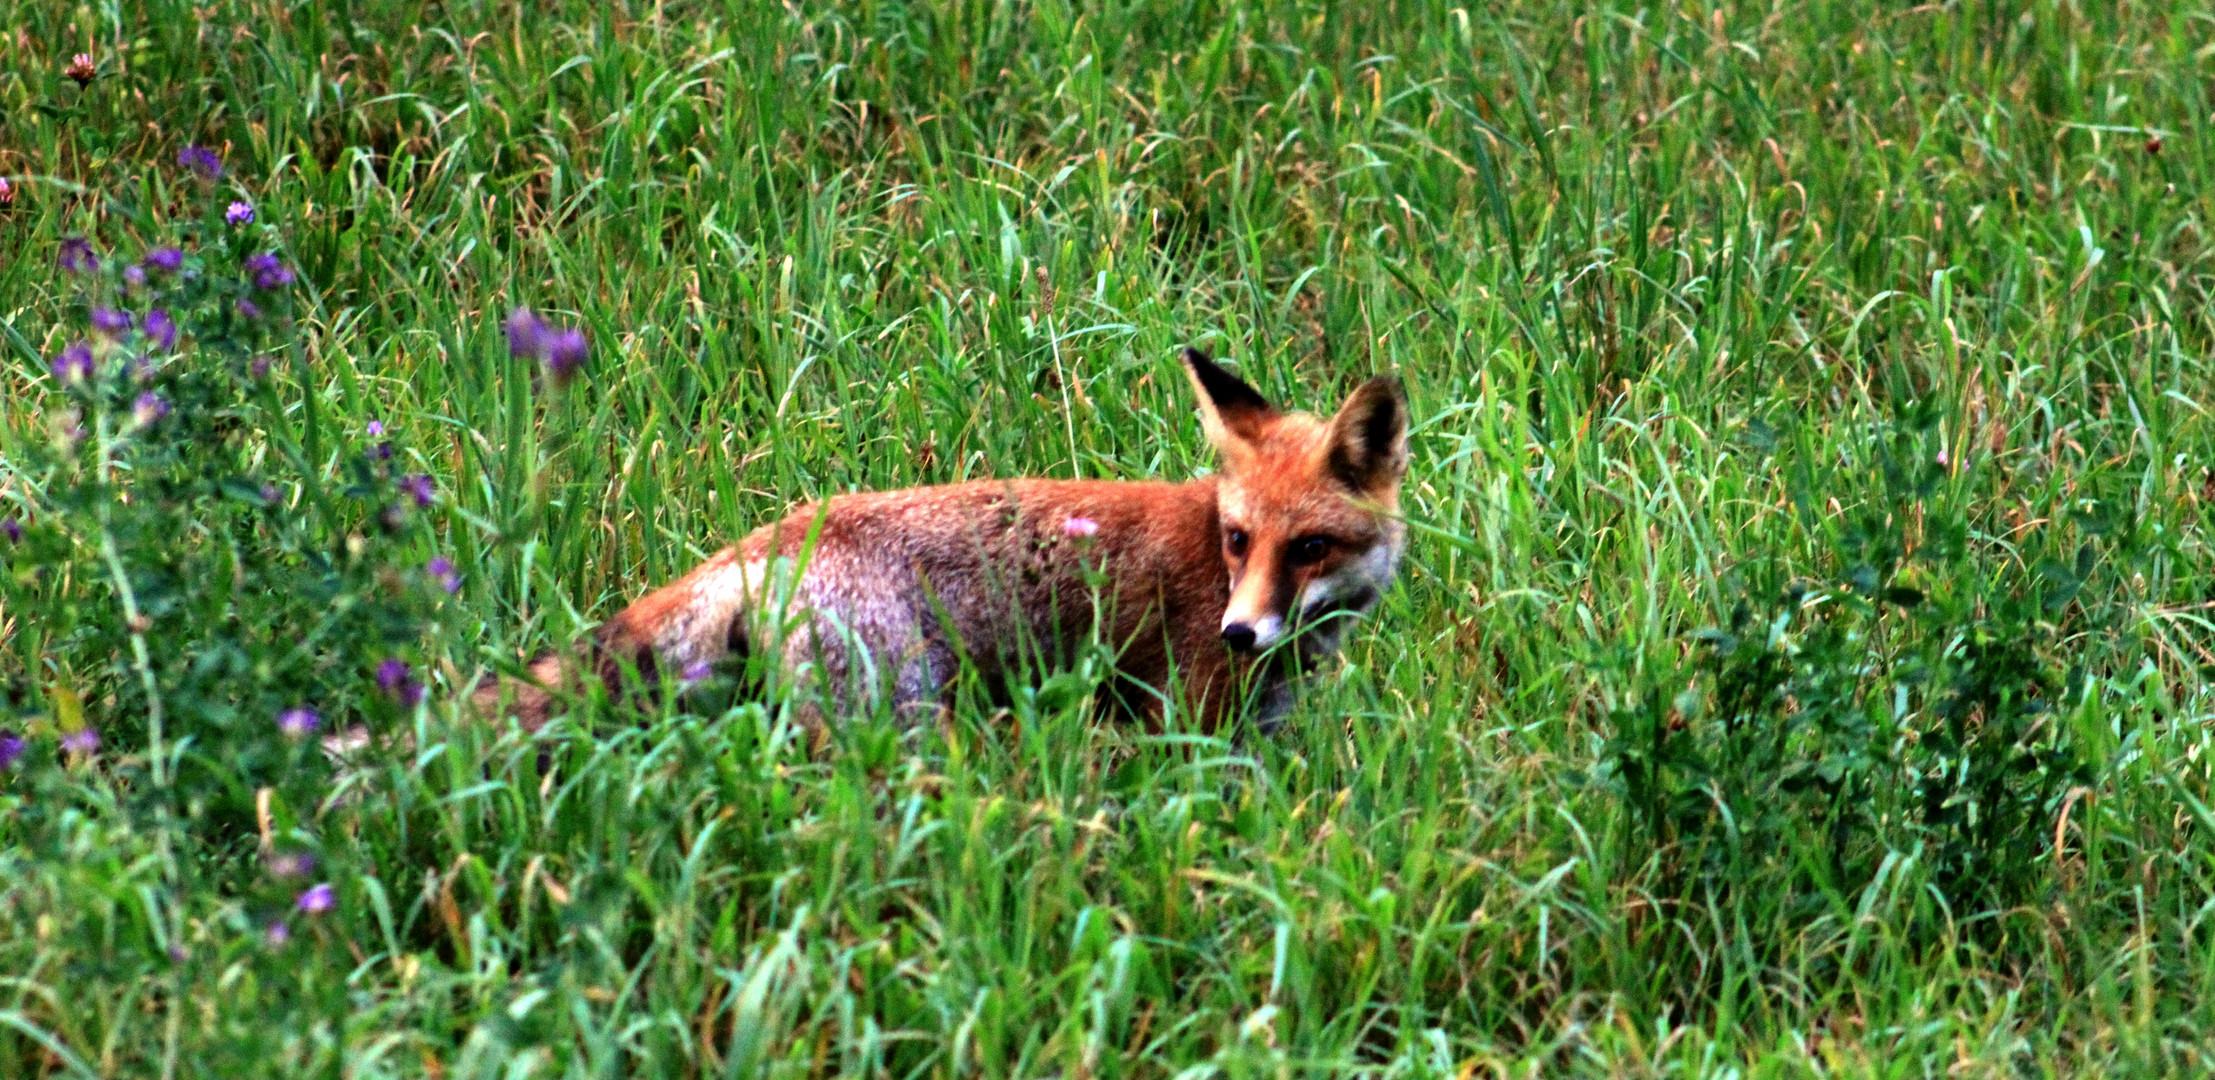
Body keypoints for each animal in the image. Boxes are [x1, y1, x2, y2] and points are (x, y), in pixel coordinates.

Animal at [482, 345, 1408, 734]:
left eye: (1309, 547)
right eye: (1239, 540)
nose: (1239, 632)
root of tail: (776, 535)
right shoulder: (1187, 719)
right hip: (897, 722)